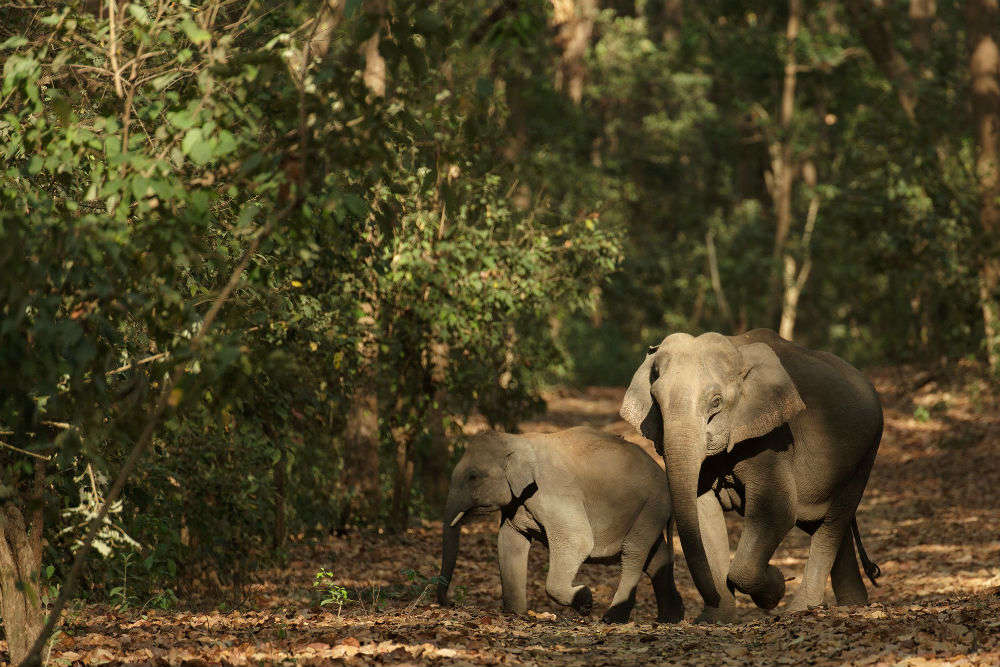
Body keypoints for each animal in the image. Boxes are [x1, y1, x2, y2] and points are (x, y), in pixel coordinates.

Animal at [440, 426, 688, 624]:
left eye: (473, 476)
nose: (446, 604)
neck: (517, 440)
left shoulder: (553, 490)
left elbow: (577, 540)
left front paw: (585, 601)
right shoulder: (516, 503)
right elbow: (509, 541)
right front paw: (515, 614)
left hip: (652, 506)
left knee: (634, 552)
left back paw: (612, 619)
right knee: (656, 558)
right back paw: (671, 618)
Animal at [616, 328, 884, 620]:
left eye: (716, 402)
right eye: (656, 402)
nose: (707, 604)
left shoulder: (773, 439)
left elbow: (777, 510)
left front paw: (775, 587)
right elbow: (704, 513)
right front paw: (715, 620)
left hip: (865, 454)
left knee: (833, 522)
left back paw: (801, 609)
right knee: (827, 524)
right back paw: (853, 605)